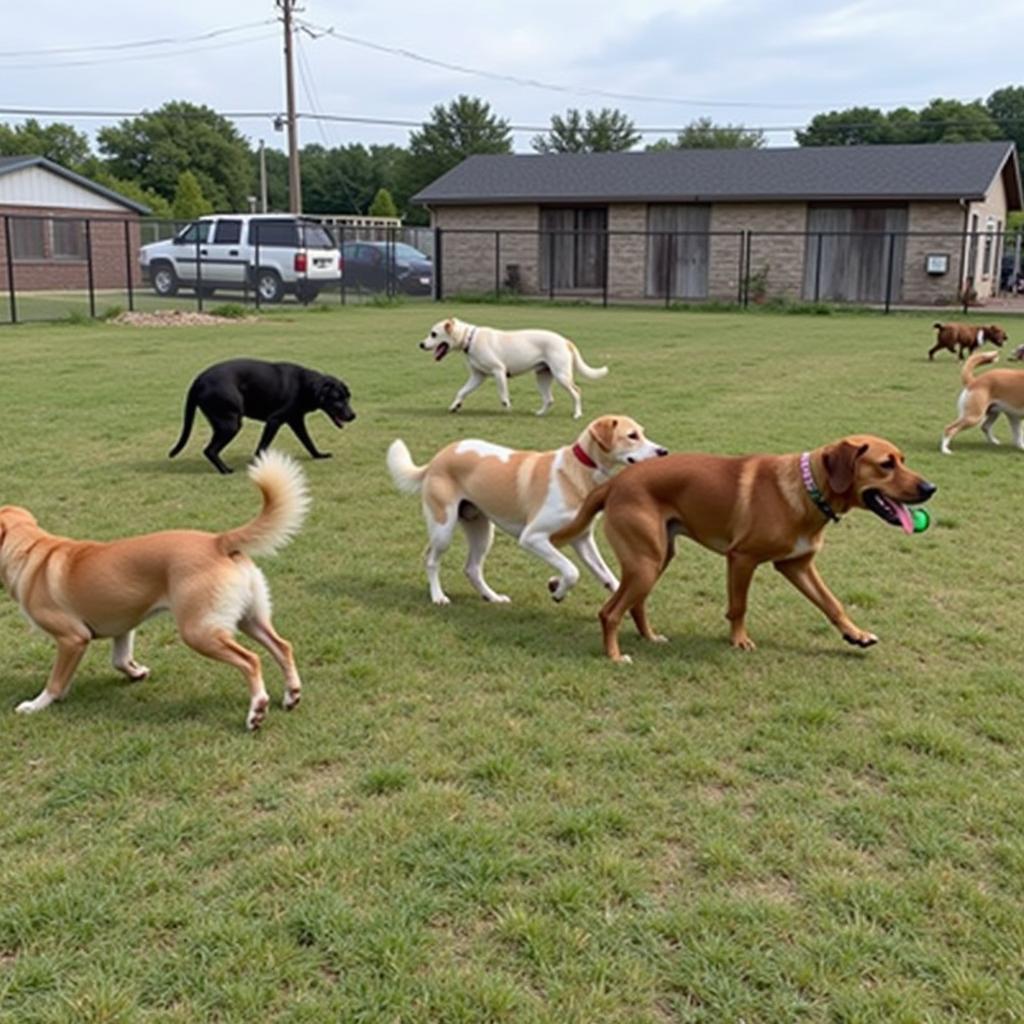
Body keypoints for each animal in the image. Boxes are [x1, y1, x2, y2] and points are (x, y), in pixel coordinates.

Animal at [2, 452, 309, 733]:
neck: (29, 550)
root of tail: (218, 541)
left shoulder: (72, 638)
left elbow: (55, 681)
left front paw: (36, 705)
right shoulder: (123, 624)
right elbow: (119, 659)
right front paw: (137, 672)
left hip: (199, 631)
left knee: (251, 660)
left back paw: (257, 710)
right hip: (250, 618)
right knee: (282, 646)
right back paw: (291, 695)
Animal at [167, 358, 356, 473]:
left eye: (347, 397)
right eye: (337, 399)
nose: (353, 415)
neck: (306, 386)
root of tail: (197, 381)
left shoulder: (296, 420)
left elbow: (308, 441)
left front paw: (319, 455)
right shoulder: (274, 420)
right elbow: (262, 446)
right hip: (231, 424)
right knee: (210, 450)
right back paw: (225, 470)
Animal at [387, 415, 667, 606]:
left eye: (643, 433)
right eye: (632, 436)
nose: (663, 451)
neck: (578, 472)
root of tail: (437, 458)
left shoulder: (582, 539)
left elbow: (606, 574)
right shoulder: (533, 538)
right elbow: (571, 570)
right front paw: (558, 590)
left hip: (481, 529)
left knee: (472, 568)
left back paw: (492, 597)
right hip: (443, 528)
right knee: (431, 559)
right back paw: (438, 596)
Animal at [417, 315, 606, 419]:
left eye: (433, 334)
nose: (421, 344)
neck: (470, 338)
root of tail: (565, 340)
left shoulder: (498, 371)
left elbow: (503, 393)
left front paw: (507, 406)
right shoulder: (477, 377)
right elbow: (462, 391)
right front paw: (455, 406)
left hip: (562, 376)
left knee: (577, 392)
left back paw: (577, 414)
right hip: (543, 377)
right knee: (549, 399)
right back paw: (540, 413)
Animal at [552, 434, 937, 663]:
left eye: (902, 459)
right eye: (886, 465)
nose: (930, 488)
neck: (808, 488)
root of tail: (615, 482)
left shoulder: (798, 565)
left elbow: (832, 603)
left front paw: (855, 634)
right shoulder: (742, 559)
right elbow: (739, 606)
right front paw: (739, 641)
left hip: (656, 558)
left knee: (635, 604)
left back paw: (649, 637)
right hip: (645, 563)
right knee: (609, 611)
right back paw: (615, 655)